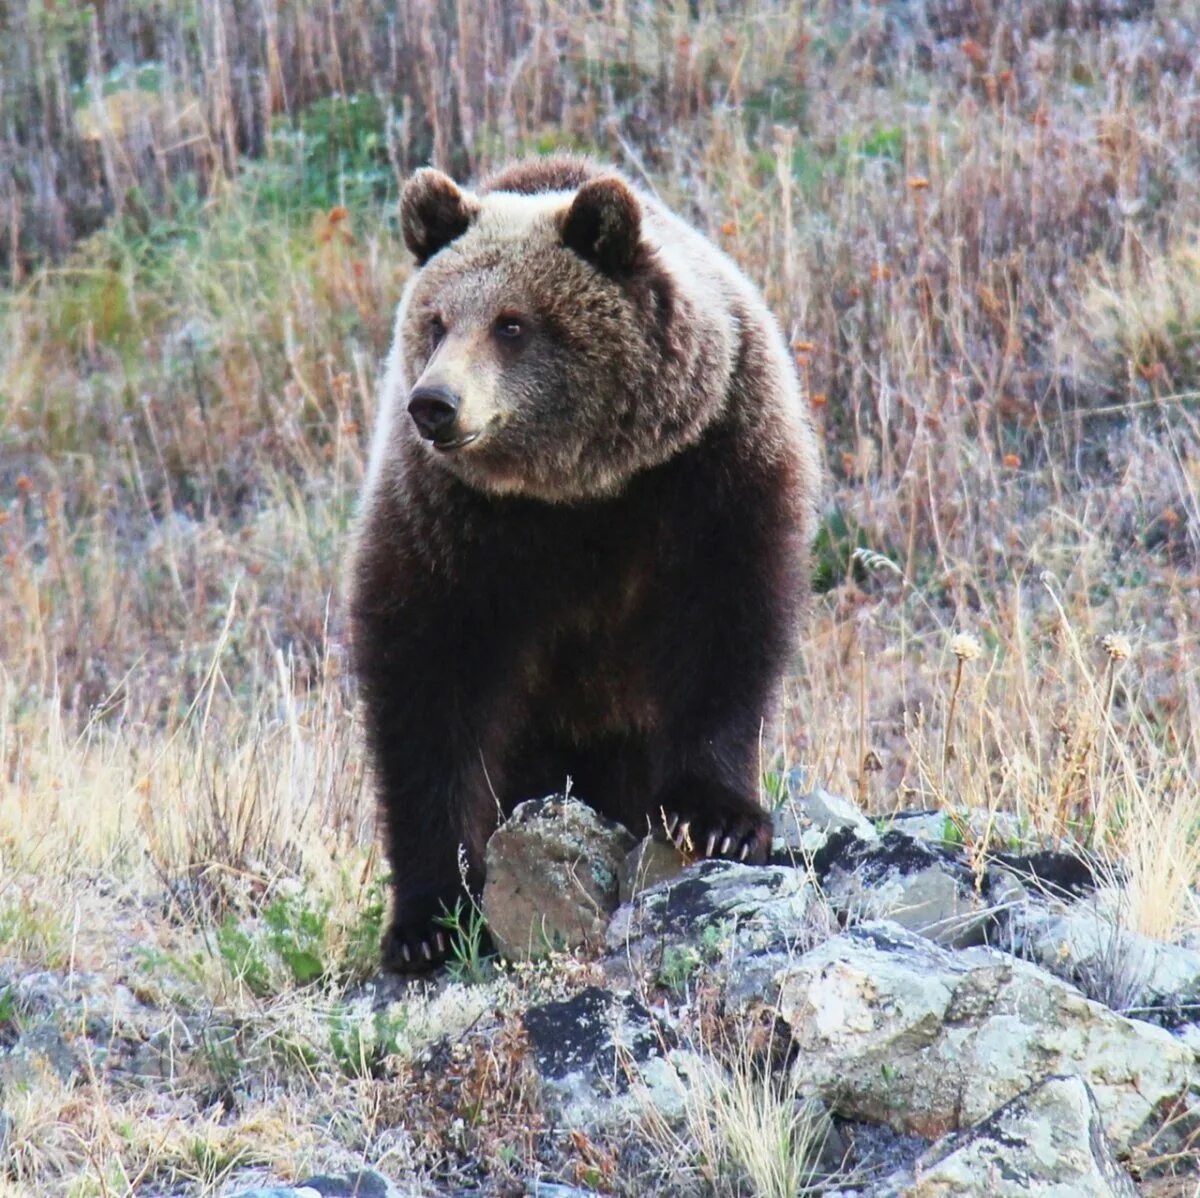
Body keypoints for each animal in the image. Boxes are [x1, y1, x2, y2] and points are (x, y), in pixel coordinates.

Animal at [345, 154, 816, 969]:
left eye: (513, 323)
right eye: (436, 321)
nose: (434, 403)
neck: (579, 488)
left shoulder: (713, 468)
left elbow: (726, 630)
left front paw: (716, 818)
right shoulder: (448, 522)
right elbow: (426, 690)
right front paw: (428, 921)